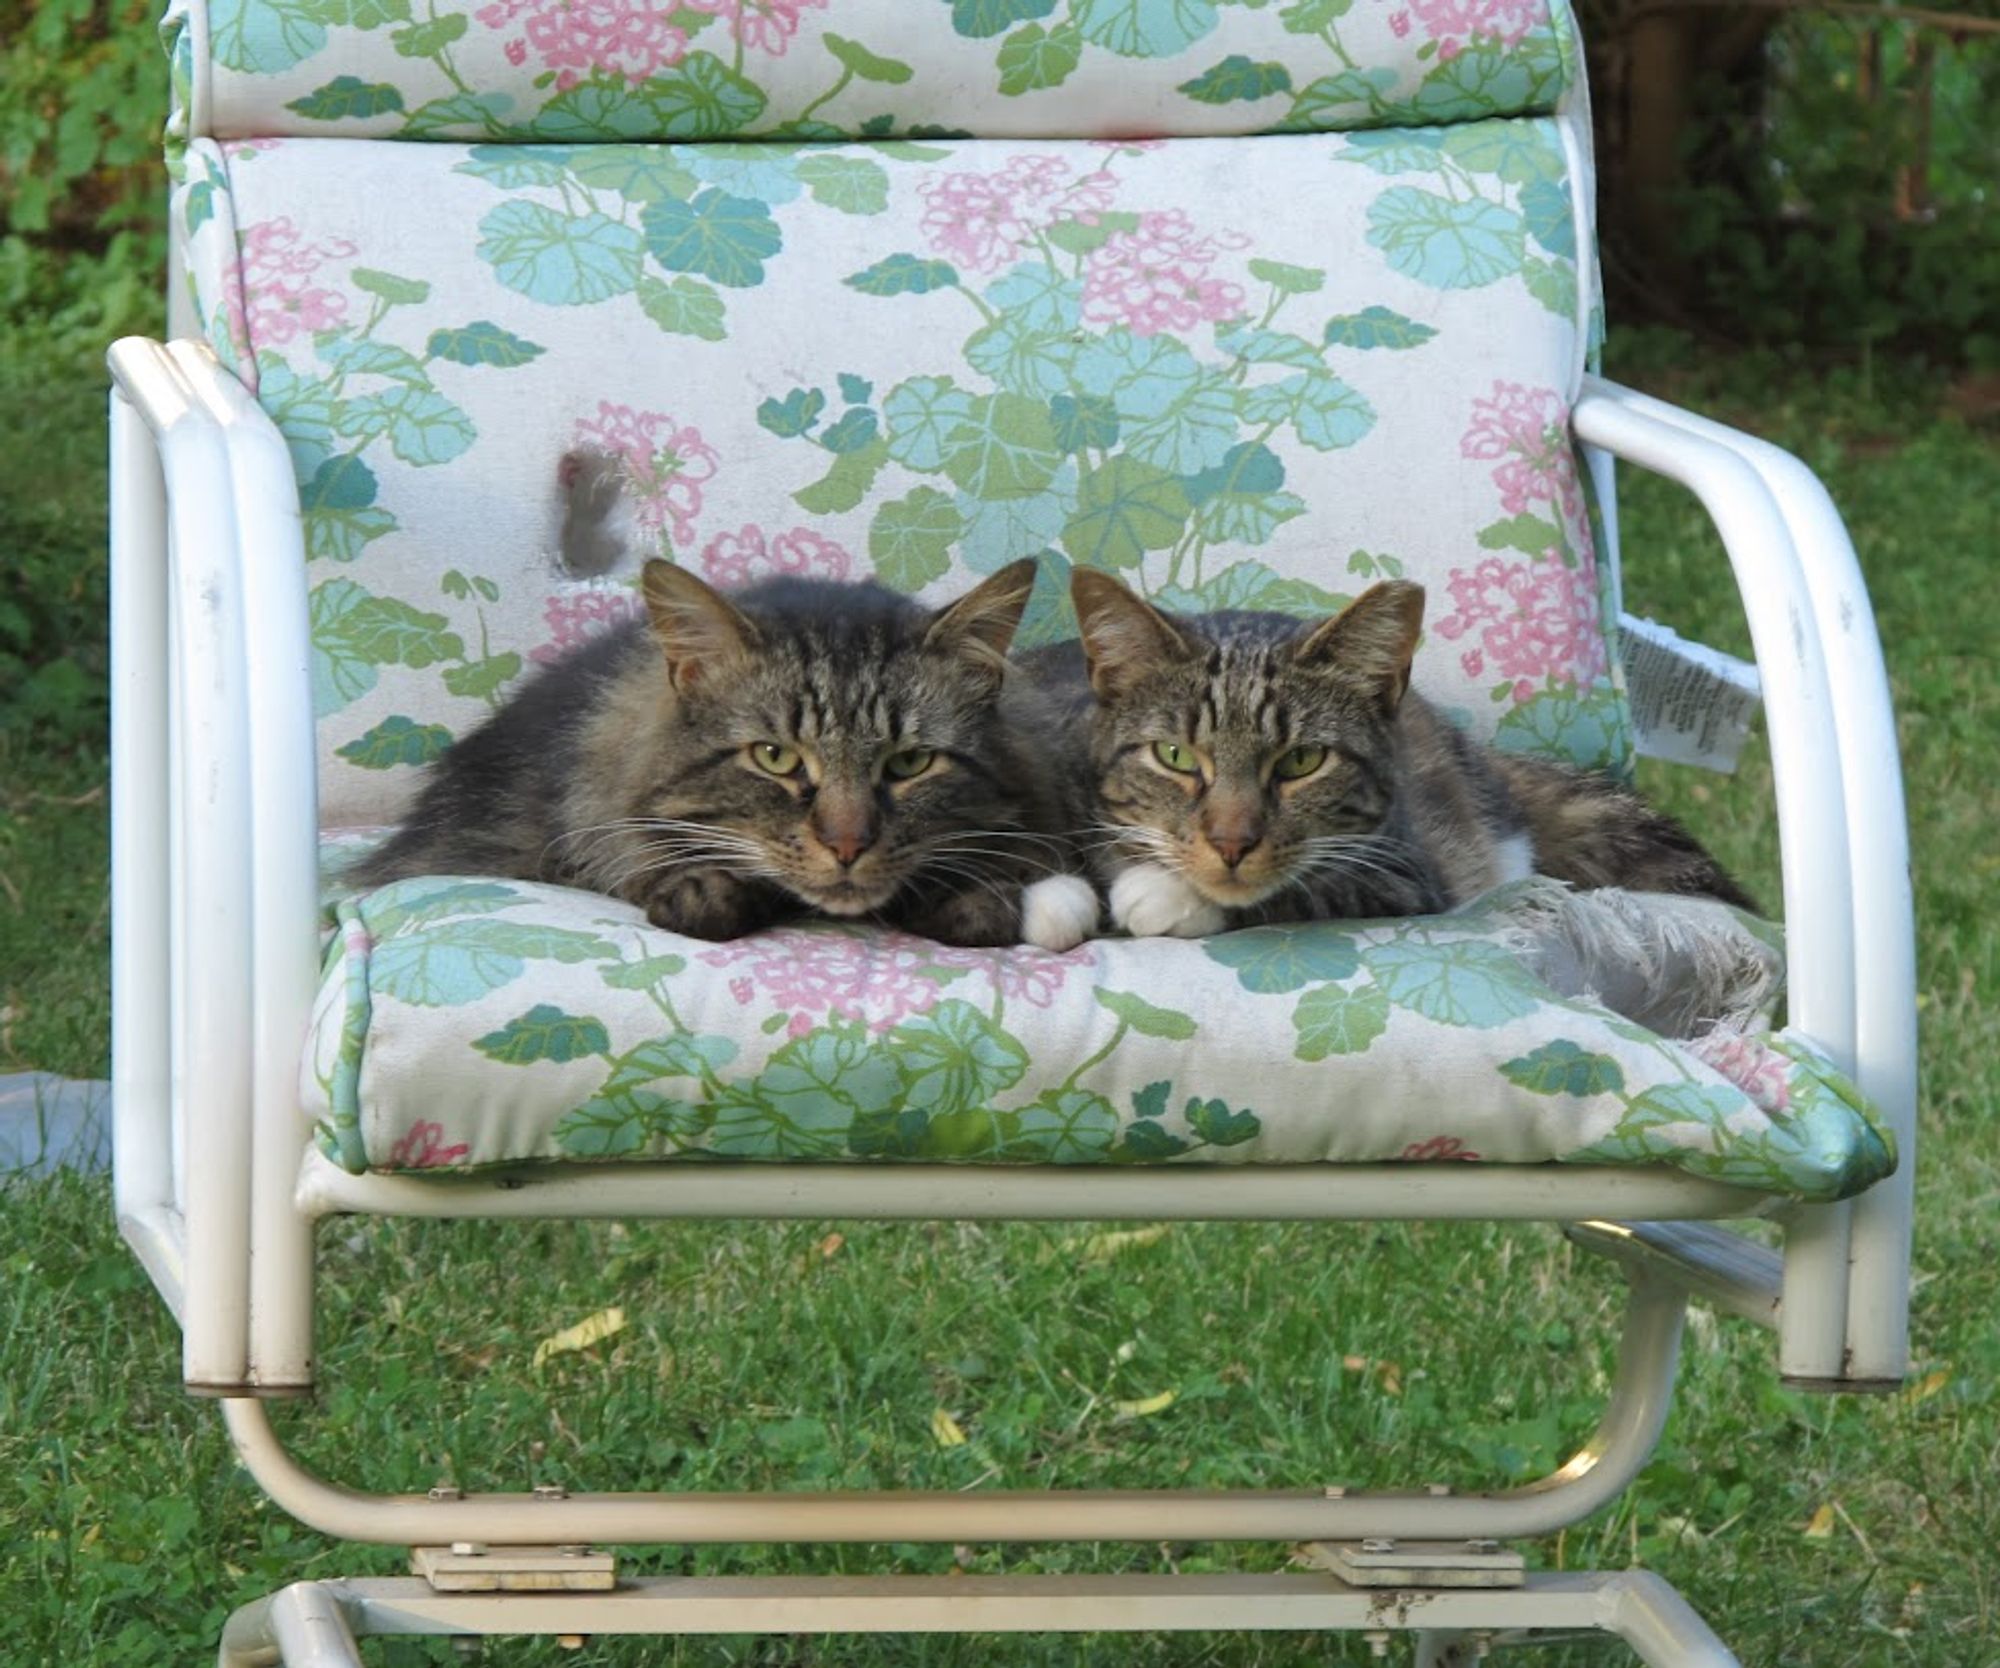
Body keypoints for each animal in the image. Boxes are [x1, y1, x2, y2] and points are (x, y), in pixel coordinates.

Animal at [346, 556, 1096, 948]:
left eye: (909, 763)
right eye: (775, 757)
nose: (847, 845)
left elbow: (981, 895)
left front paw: (974, 900)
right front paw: (702, 892)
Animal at [1056, 568, 1760, 936]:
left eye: (1302, 761)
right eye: (1174, 756)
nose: (1231, 843)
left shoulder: (1409, 873)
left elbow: (1306, 887)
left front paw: (1164, 896)